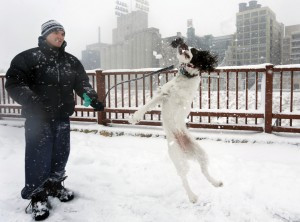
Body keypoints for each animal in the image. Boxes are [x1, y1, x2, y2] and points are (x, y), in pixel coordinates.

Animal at [129, 38, 223, 203]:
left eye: (195, 51)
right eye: (185, 45)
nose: (183, 45)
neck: (186, 77)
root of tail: (185, 150)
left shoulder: (180, 99)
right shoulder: (163, 94)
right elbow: (148, 104)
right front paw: (136, 116)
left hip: (199, 154)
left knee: (196, 174)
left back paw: (203, 189)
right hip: (180, 156)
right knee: (192, 175)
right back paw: (204, 189)